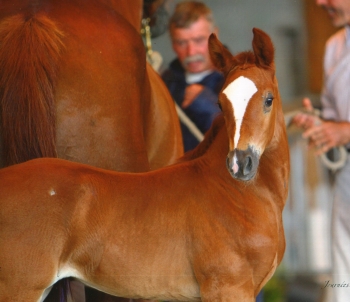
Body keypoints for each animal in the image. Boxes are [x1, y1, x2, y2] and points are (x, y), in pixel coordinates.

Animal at [0, 27, 288, 300]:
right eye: (220, 103)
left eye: (268, 99)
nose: (240, 163)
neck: (235, 194)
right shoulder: (228, 287)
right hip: (20, 288)